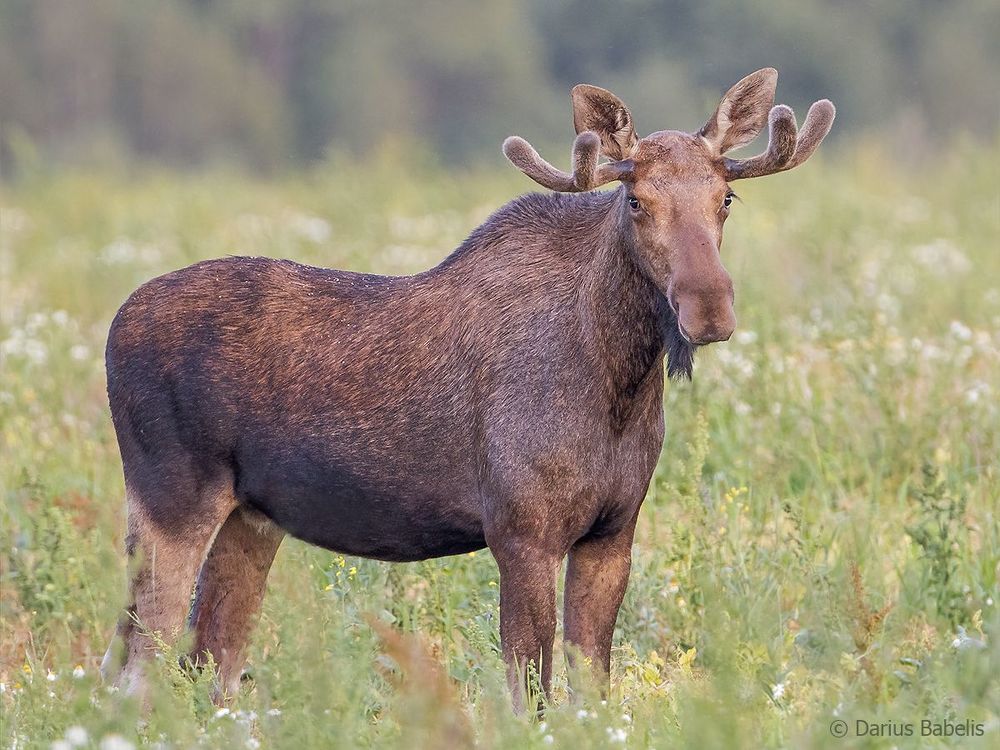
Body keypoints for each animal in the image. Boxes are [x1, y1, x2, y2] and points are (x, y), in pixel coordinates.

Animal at [101, 68, 834, 711]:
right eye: (635, 201)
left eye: (726, 199)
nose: (709, 308)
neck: (618, 383)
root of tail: (114, 325)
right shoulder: (521, 532)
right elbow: (530, 696)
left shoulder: (612, 533)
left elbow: (591, 695)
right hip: (170, 500)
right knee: (137, 672)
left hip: (252, 517)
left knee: (208, 667)